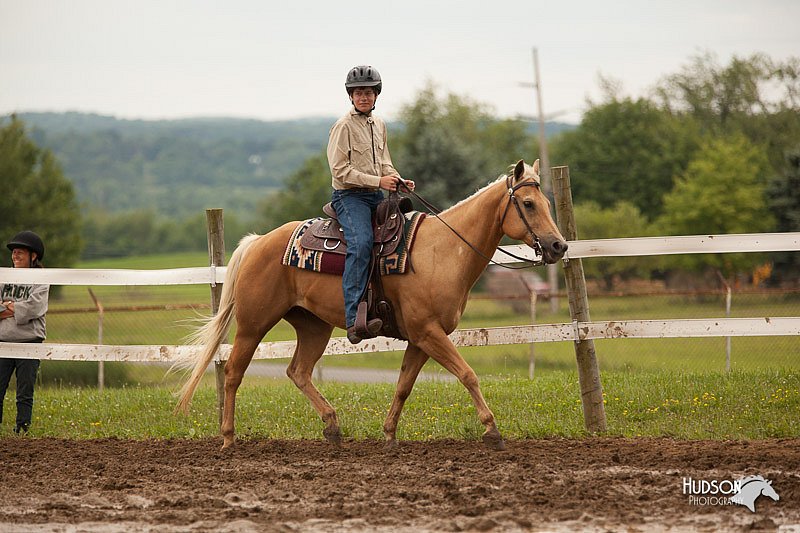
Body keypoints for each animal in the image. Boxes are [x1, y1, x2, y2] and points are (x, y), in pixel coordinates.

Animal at [178, 159, 568, 448]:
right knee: (233, 373)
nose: (558, 246)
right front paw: (492, 430)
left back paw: (332, 426)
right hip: (253, 324)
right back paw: (228, 438)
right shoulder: (429, 333)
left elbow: (404, 385)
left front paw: (389, 434)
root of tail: (257, 243)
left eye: (548, 204)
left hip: (313, 325)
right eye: (528, 204)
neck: (442, 250)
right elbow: (468, 374)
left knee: (298, 371)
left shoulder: (421, 338)